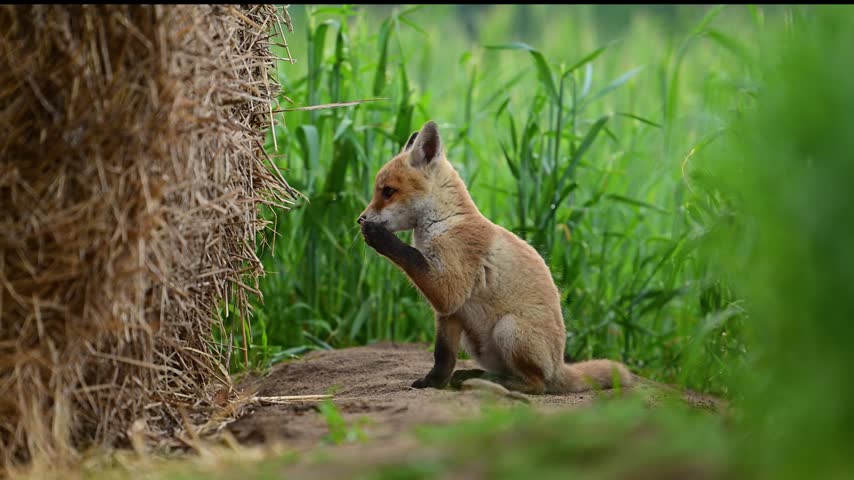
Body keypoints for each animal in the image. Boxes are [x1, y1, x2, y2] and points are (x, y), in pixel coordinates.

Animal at [358, 120, 633, 395]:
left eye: (388, 192)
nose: (360, 219)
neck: (445, 223)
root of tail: (559, 366)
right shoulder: (450, 313)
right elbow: (443, 357)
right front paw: (433, 383)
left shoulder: (450, 291)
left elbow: (409, 254)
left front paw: (379, 237)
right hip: (475, 341)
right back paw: (474, 376)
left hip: (508, 329)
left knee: (536, 385)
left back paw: (497, 383)